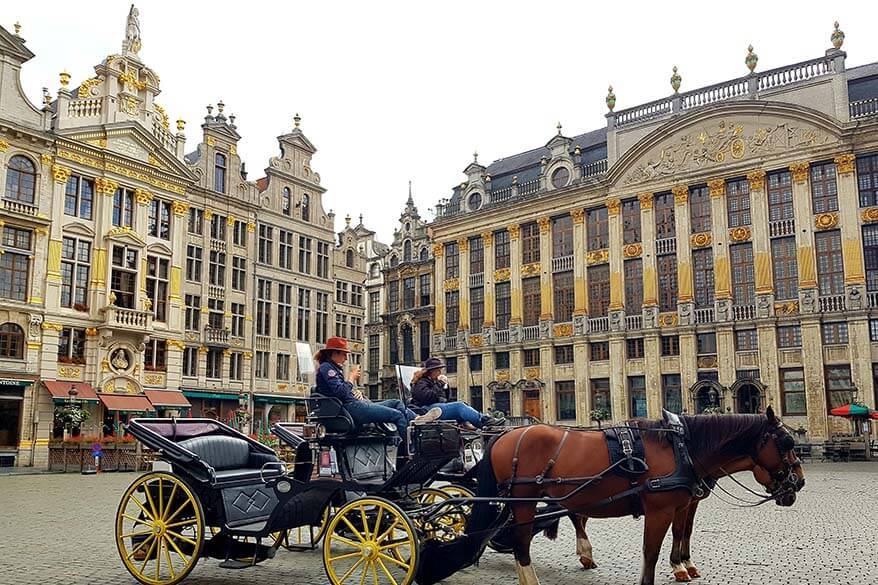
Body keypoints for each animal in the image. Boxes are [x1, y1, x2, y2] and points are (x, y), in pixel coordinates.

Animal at [420, 408, 804, 584]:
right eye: (786, 442)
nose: (798, 484)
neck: (683, 447)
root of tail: (505, 434)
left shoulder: (685, 501)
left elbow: (683, 534)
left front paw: (684, 565)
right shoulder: (661, 508)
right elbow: (651, 551)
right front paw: (676, 568)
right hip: (525, 498)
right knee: (522, 543)